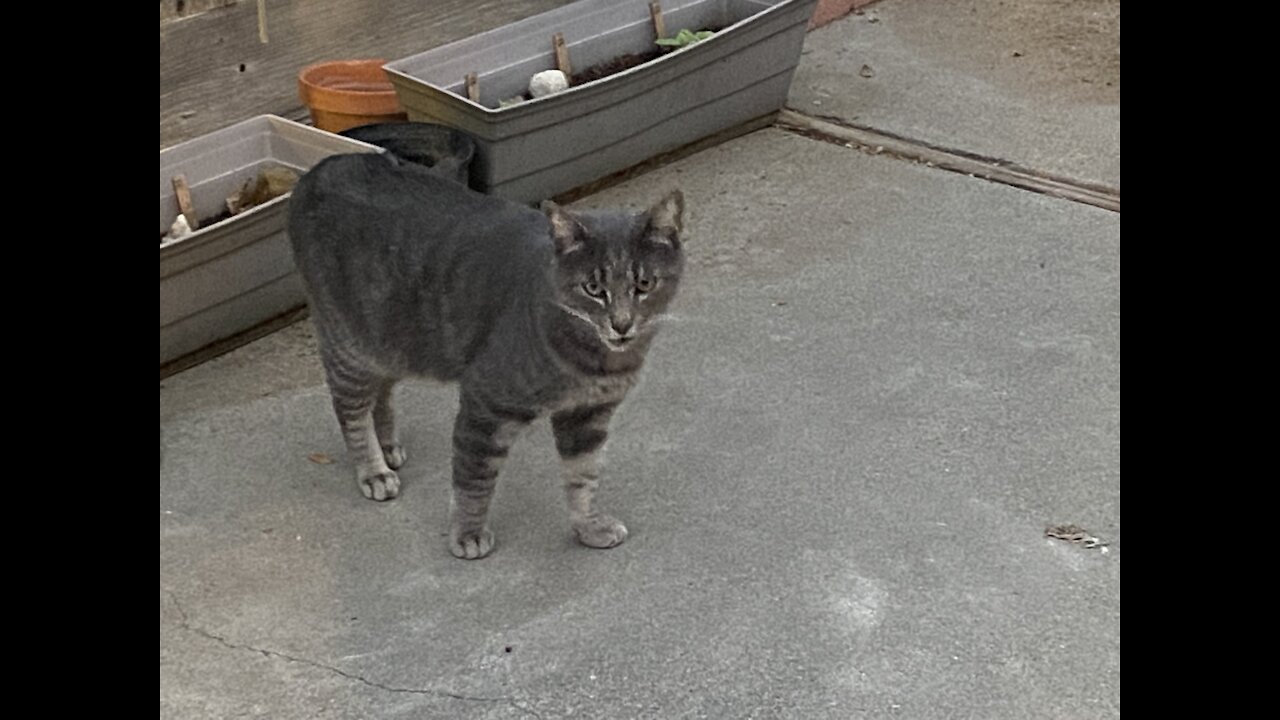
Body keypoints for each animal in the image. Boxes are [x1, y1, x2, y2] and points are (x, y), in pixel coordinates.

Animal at [288, 149, 691, 556]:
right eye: (593, 288)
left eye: (644, 284)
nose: (621, 323)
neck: (595, 361)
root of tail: (325, 165)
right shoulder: (485, 404)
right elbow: (474, 480)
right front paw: (467, 534)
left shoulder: (587, 416)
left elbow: (583, 477)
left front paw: (588, 527)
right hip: (348, 346)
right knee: (350, 411)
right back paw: (373, 470)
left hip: (391, 341)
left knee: (382, 392)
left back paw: (386, 447)